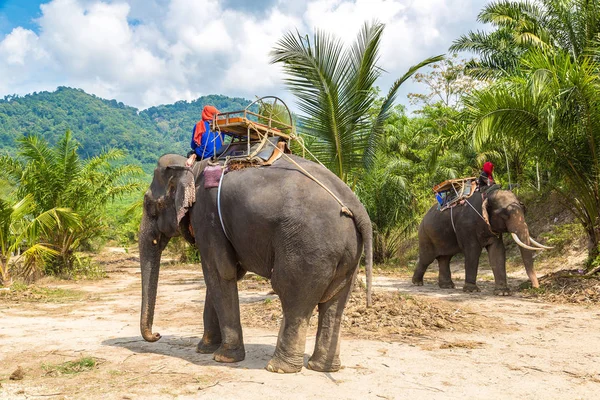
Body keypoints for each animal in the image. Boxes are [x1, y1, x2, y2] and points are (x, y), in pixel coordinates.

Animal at [141, 154, 372, 376]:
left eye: (149, 205)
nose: (157, 334)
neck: (195, 166)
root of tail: (355, 204)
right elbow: (221, 275)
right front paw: (204, 349)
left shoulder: (207, 218)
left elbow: (219, 272)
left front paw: (224, 357)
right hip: (348, 252)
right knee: (335, 304)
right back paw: (323, 367)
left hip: (308, 247)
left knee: (292, 296)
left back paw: (279, 368)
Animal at [412, 188, 548, 294]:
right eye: (504, 214)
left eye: (524, 209)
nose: (536, 287)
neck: (487, 195)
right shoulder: (467, 227)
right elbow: (473, 251)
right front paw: (471, 290)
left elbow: (497, 252)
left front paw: (502, 292)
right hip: (425, 236)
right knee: (427, 258)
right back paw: (417, 283)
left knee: (445, 258)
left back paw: (447, 286)